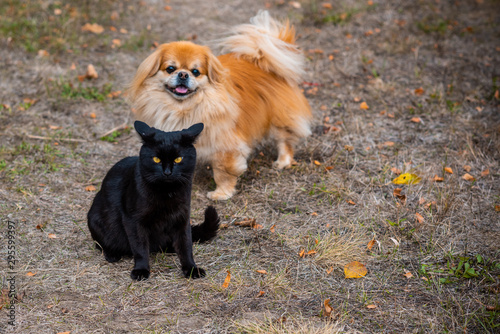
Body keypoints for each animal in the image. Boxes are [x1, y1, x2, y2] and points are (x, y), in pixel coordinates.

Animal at [87, 121, 219, 280]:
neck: (167, 193)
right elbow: (140, 247)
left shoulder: (182, 218)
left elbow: (186, 245)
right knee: (100, 244)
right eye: (156, 159)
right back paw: (112, 254)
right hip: (95, 219)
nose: (167, 172)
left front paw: (191, 269)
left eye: (178, 159)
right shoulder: (133, 220)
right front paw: (141, 270)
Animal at [127, 11, 310, 201]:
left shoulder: (225, 146)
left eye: (195, 72)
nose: (183, 74)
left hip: (279, 118)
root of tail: (260, 59)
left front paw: (221, 194)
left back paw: (283, 162)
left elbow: (223, 173)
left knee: (285, 140)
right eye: (170, 68)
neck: (183, 109)